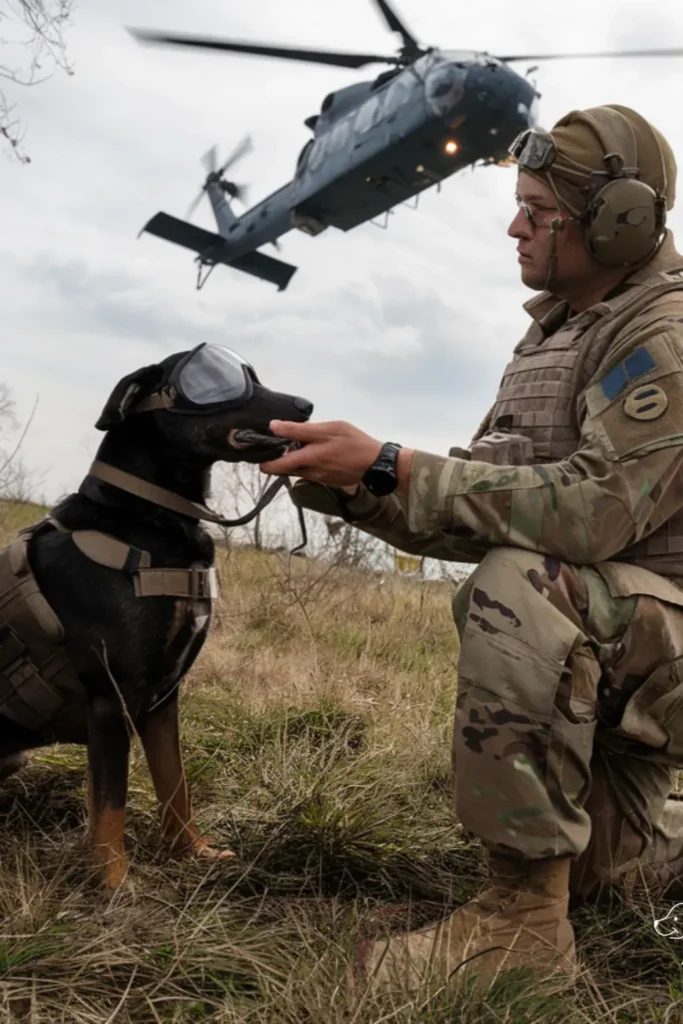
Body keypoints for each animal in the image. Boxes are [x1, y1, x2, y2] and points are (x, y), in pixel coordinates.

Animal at [0, 339, 313, 884]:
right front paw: (115, 883)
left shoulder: (163, 698)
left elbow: (175, 783)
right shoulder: (113, 697)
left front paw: (192, 852)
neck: (145, 520)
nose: (308, 406)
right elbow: (111, 805)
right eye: (218, 381)